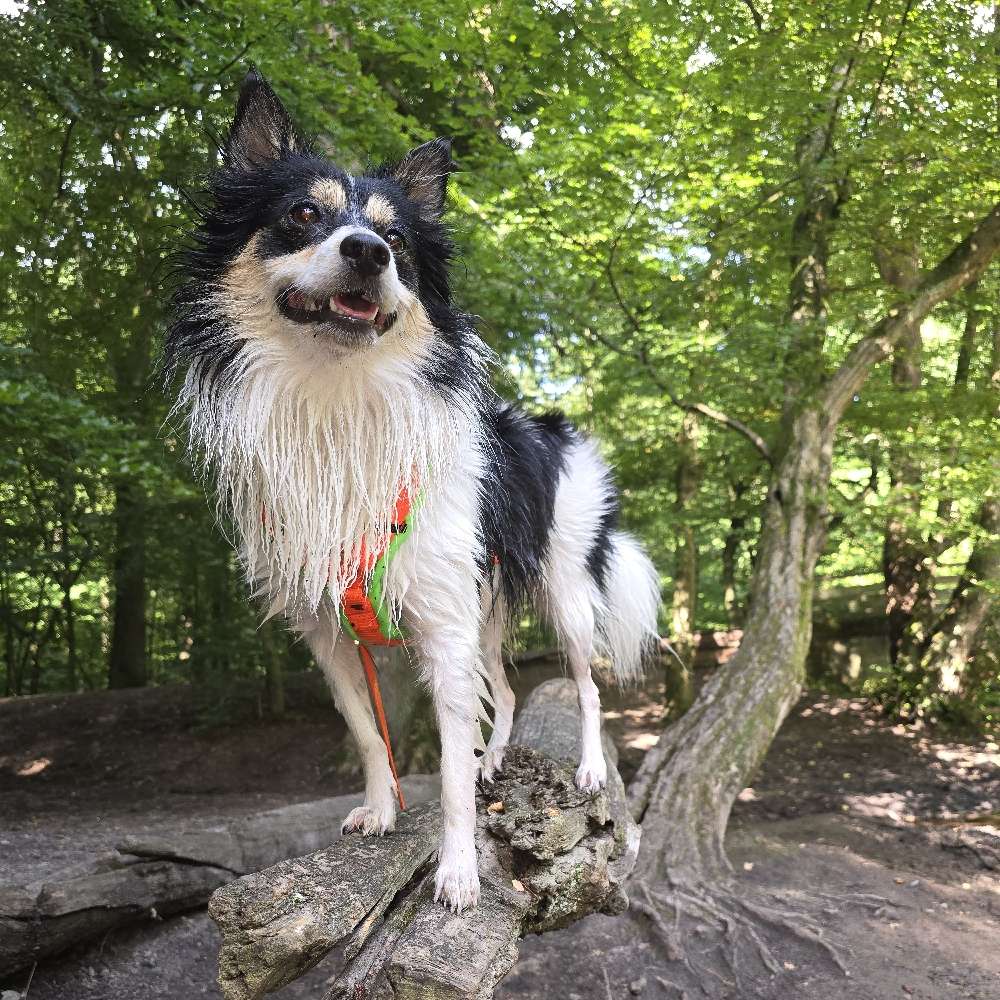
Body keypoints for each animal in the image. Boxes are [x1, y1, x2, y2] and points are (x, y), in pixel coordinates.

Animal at [167, 68, 660, 916]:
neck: (335, 399)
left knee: (586, 685)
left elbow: (453, 769)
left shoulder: (443, 631)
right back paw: (497, 757)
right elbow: (373, 732)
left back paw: (590, 767)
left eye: (396, 241)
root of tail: (557, 430)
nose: (367, 252)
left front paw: (458, 869)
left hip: (561, 590)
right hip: (483, 604)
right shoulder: (329, 632)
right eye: (303, 214)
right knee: (506, 689)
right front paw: (383, 806)